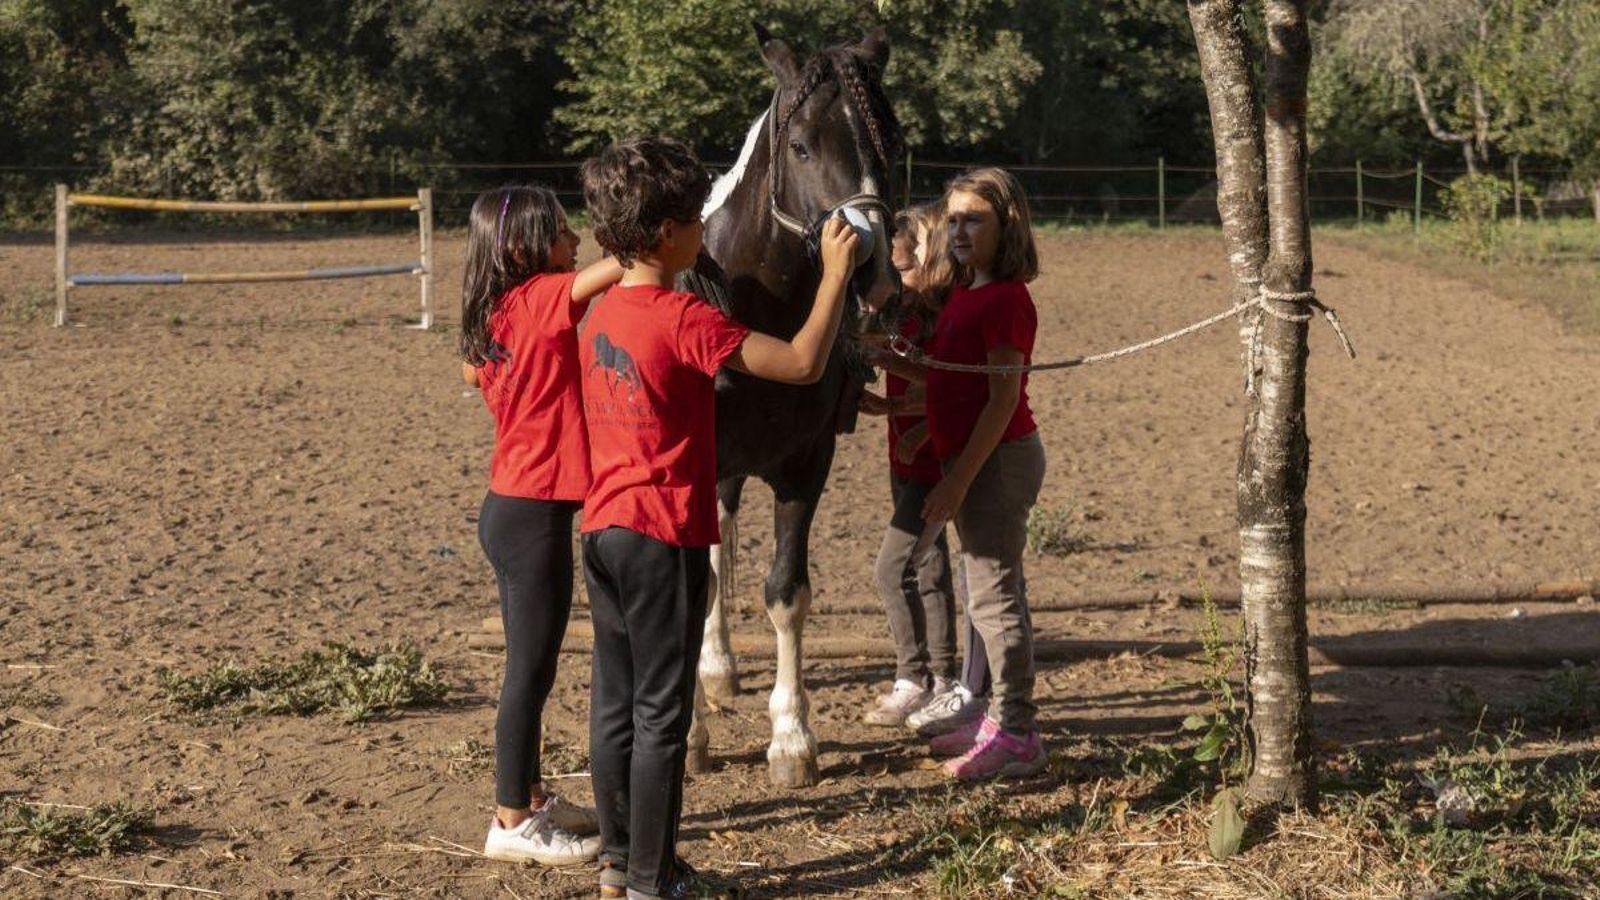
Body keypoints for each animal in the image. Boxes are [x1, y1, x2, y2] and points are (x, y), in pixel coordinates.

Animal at [680, 25, 902, 788]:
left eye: (893, 139)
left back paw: (719, 667)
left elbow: (785, 592)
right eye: (802, 145)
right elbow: (694, 585)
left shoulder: (807, 463)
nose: (873, 275)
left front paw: (791, 737)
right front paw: (691, 739)